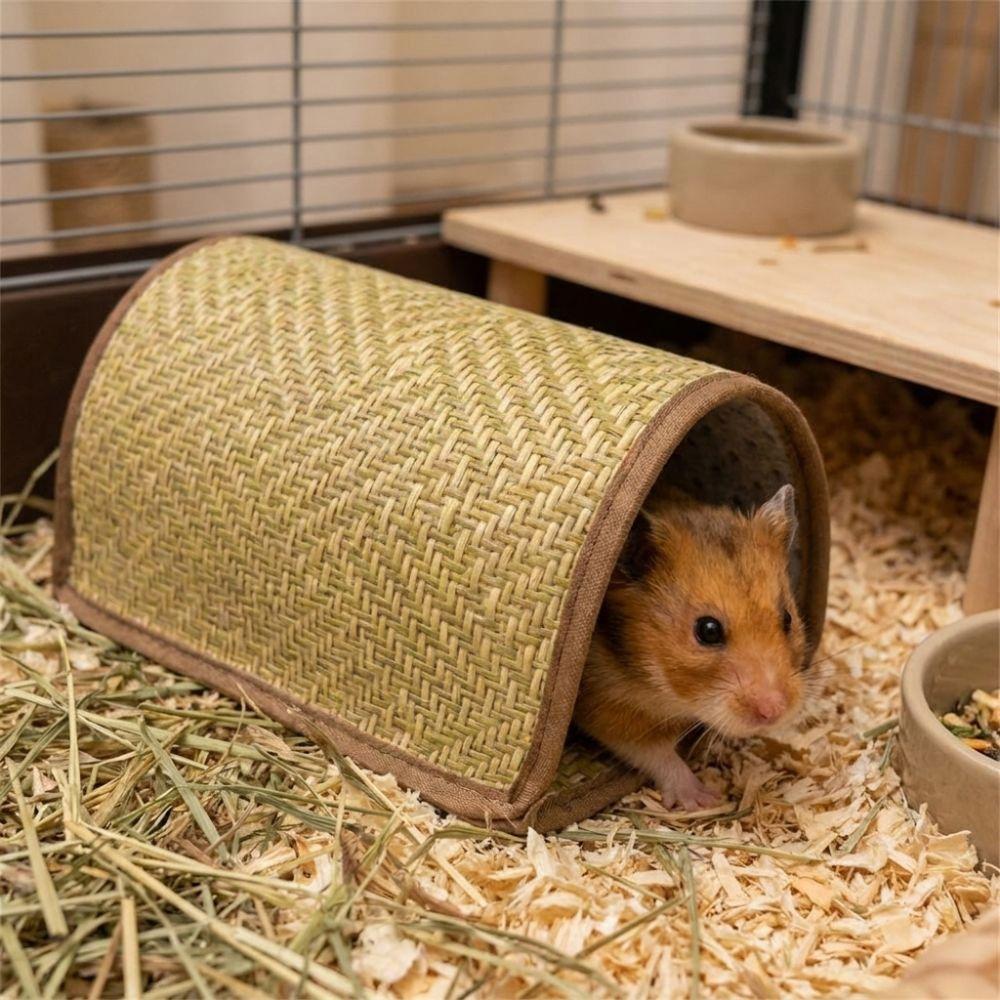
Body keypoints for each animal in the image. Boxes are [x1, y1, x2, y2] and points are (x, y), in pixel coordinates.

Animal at [573, 484, 806, 810]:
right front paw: (705, 800)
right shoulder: (605, 704)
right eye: (707, 630)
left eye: (787, 618)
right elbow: (655, 752)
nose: (774, 711)